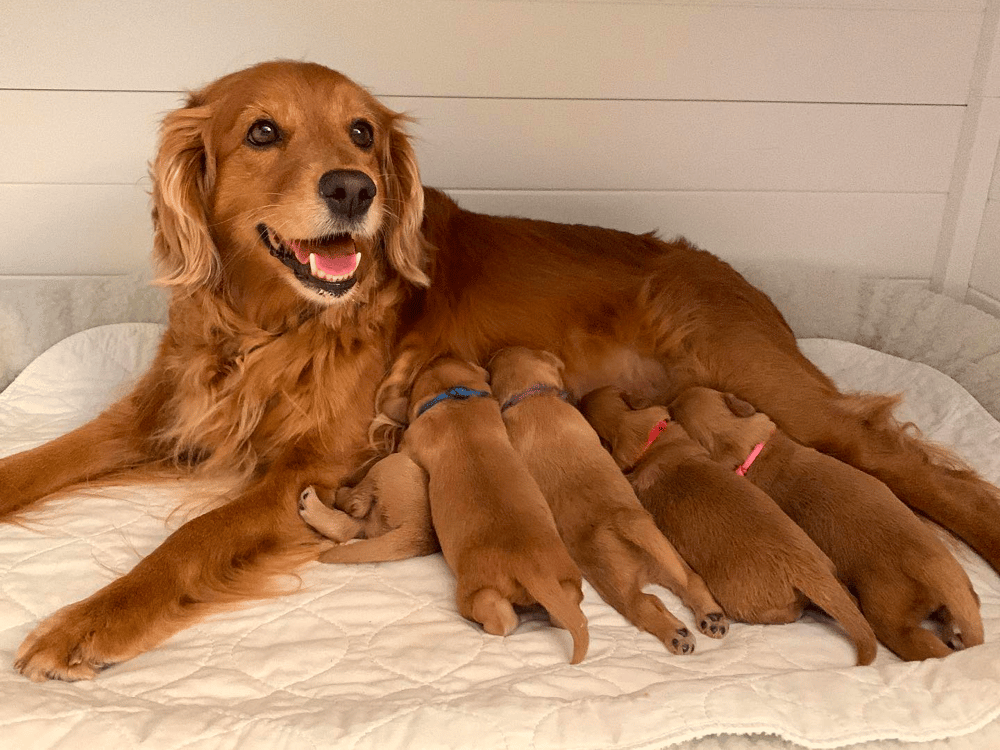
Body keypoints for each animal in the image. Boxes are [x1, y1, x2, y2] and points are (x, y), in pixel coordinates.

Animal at [490, 350, 732, 656]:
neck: (536, 398)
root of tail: (623, 519)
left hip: (616, 584)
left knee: (644, 605)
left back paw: (677, 635)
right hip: (669, 558)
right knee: (690, 582)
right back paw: (711, 617)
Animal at [672, 390, 984, 660]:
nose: (670, 400)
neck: (747, 444)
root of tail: (932, 568)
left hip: (891, 619)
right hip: (958, 588)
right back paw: (956, 632)